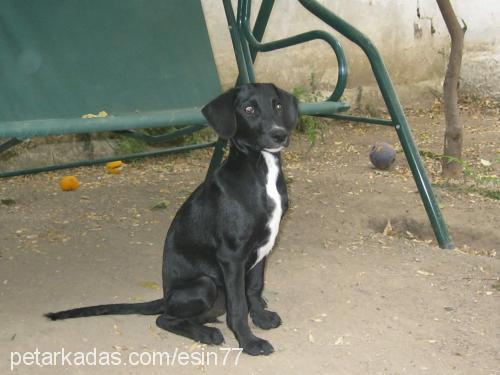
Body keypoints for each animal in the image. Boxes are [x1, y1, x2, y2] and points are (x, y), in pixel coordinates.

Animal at [46, 83, 296, 356]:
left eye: (277, 105)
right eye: (249, 109)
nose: (280, 135)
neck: (261, 171)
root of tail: (165, 297)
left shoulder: (262, 248)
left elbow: (254, 288)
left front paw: (261, 319)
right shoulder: (232, 256)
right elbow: (239, 305)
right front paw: (249, 342)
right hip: (205, 285)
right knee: (164, 318)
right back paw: (205, 334)